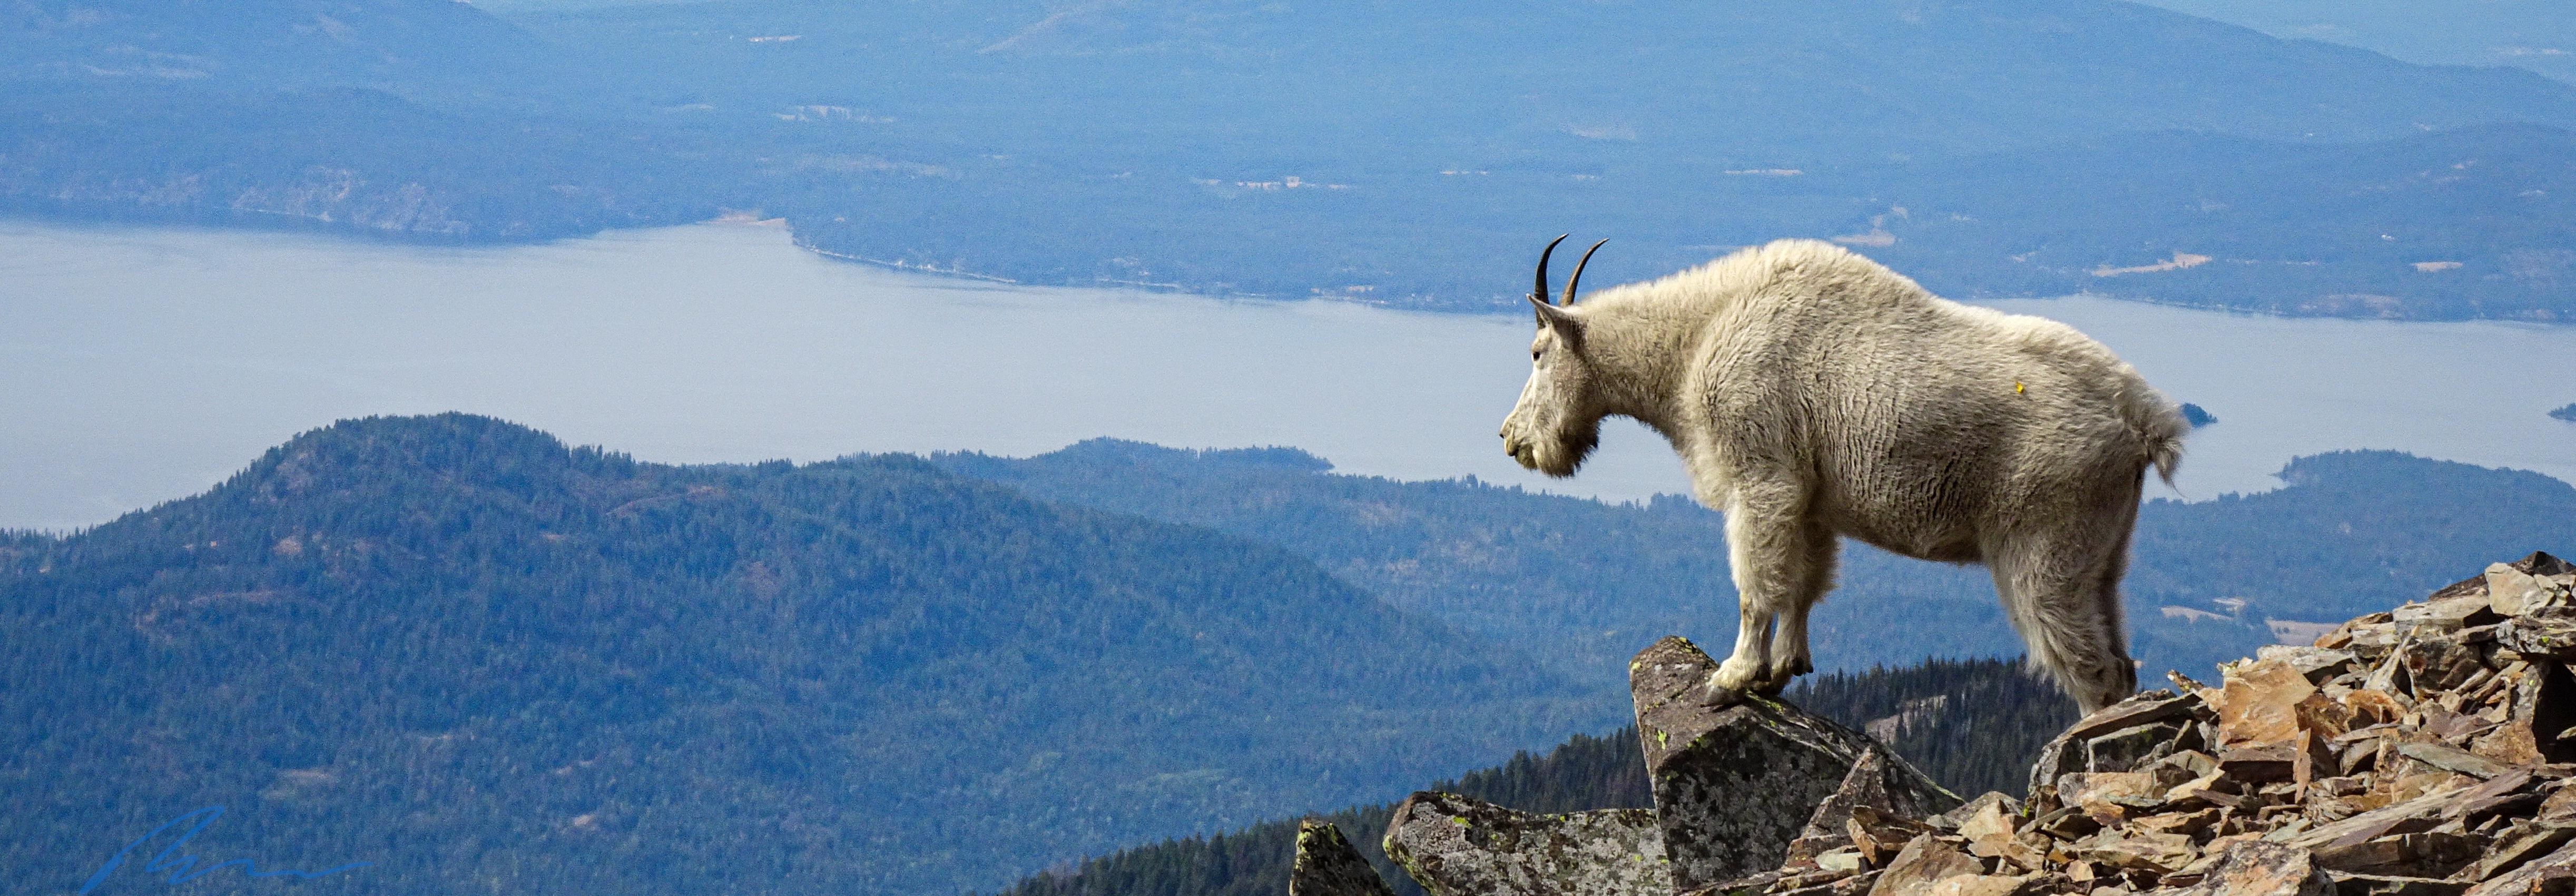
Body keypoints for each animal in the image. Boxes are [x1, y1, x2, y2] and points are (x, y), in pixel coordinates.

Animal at [1498, 236, 2186, 714]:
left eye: (1537, 353)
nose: (1511, 440)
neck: (1695, 339)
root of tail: (2142, 423)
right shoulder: (1809, 501)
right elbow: (1804, 584)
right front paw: (1783, 671)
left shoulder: (1760, 479)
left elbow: (1757, 585)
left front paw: (1732, 679)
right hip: (2101, 556)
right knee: (2120, 659)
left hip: (2044, 549)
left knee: (2090, 669)